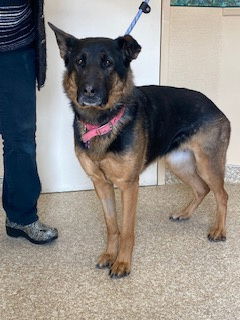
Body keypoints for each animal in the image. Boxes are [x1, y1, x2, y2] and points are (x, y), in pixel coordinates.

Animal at [48, 23, 231, 278]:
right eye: (80, 62)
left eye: (107, 63)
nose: (89, 91)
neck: (102, 121)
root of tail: (216, 107)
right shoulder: (101, 184)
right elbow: (112, 226)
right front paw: (109, 255)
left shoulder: (128, 185)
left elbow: (126, 230)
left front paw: (123, 263)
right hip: (179, 163)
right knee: (201, 188)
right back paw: (184, 214)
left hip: (207, 165)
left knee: (221, 194)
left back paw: (219, 230)